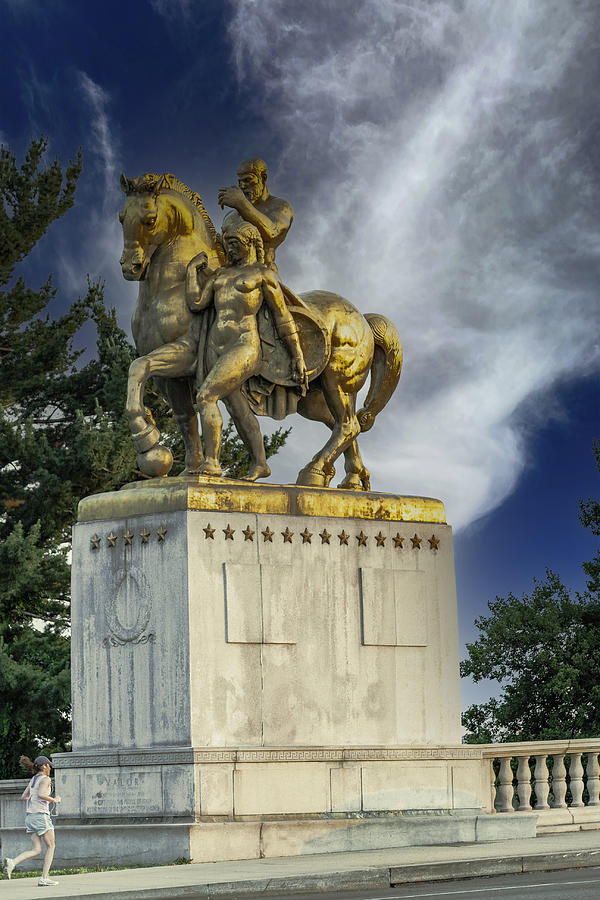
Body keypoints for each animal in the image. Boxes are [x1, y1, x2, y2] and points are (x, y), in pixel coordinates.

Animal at [119, 171, 400, 488]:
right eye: (121, 217)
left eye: (150, 219)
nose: (130, 267)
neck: (168, 289)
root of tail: (362, 319)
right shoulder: (172, 377)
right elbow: (178, 411)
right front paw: (184, 469)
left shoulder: (185, 354)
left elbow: (139, 368)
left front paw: (148, 440)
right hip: (315, 398)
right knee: (343, 425)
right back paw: (349, 481)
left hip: (335, 382)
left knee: (348, 425)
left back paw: (313, 472)